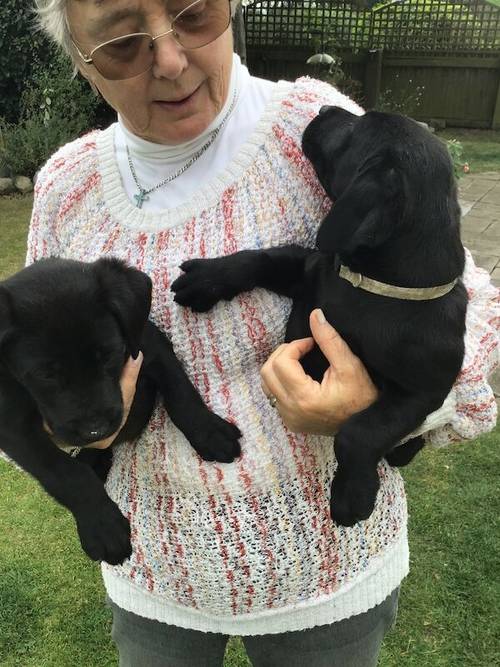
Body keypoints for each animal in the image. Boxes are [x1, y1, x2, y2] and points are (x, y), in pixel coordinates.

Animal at [0, 256, 242, 564]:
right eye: (45, 375)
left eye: (108, 355)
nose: (96, 430)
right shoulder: (12, 425)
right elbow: (64, 472)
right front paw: (102, 527)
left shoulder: (148, 343)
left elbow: (180, 391)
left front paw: (210, 432)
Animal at [171, 108, 464, 528]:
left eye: (356, 129)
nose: (324, 110)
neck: (367, 288)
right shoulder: (310, 270)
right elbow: (261, 259)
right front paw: (208, 279)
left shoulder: (421, 392)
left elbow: (359, 431)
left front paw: (352, 495)